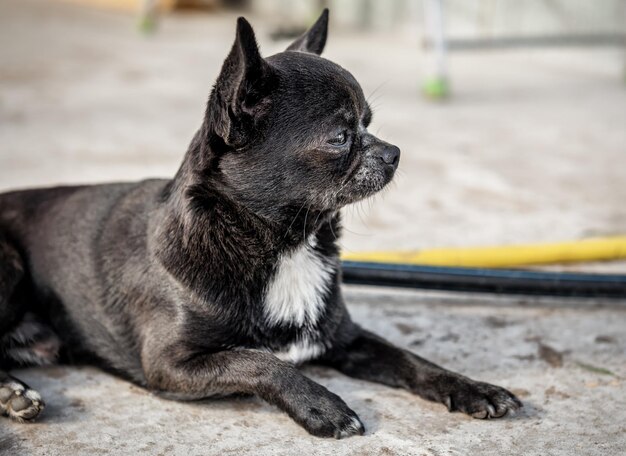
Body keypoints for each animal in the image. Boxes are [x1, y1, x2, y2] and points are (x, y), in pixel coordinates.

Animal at [0, 10, 516, 438]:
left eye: (369, 123)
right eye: (341, 136)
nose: (393, 153)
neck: (287, 243)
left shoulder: (345, 338)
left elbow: (411, 360)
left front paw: (473, 387)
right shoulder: (170, 364)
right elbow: (261, 362)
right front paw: (322, 406)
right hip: (10, 265)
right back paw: (14, 393)